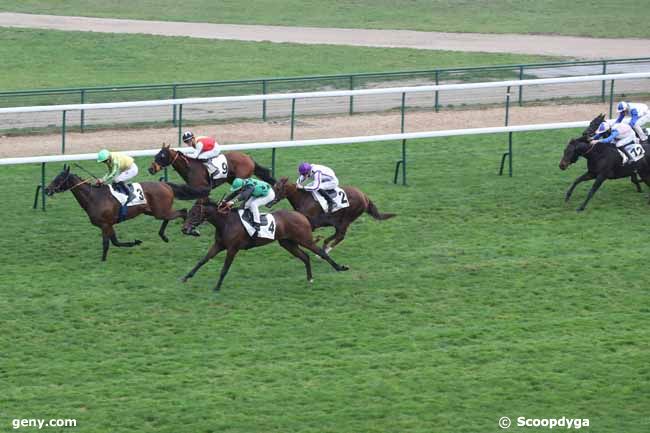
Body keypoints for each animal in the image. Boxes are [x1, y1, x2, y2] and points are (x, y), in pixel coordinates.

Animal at [46, 165, 208, 260]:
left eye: (59, 178)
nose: (47, 190)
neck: (94, 197)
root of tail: (165, 184)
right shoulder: (109, 224)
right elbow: (115, 242)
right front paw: (135, 242)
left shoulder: (105, 224)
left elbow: (107, 243)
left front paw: (102, 260)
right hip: (154, 211)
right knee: (172, 216)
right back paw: (164, 236)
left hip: (160, 211)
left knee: (183, 212)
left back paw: (191, 230)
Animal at [177, 199, 350, 290]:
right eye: (189, 212)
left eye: (194, 213)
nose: (184, 229)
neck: (226, 222)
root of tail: (301, 216)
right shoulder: (219, 245)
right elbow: (202, 260)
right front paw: (186, 277)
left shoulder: (232, 249)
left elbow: (224, 269)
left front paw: (217, 287)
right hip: (287, 243)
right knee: (305, 256)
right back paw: (309, 278)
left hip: (304, 239)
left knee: (321, 252)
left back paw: (340, 268)